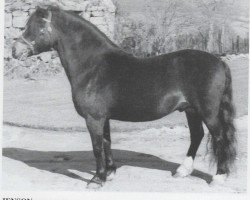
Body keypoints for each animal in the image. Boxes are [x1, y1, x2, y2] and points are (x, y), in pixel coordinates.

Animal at [13, 5, 236, 188]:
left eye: (37, 27)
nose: (15, 51)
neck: (93, 66)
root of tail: (219, 61)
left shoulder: (93, 118)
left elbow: (96, 147)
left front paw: (97, 180)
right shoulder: (104, 118)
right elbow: (107, 142)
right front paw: (110, 173)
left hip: (208, 112)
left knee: (219, 137)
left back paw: (219, 177)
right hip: (191, 110)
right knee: (196, 135)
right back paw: (182, 171)